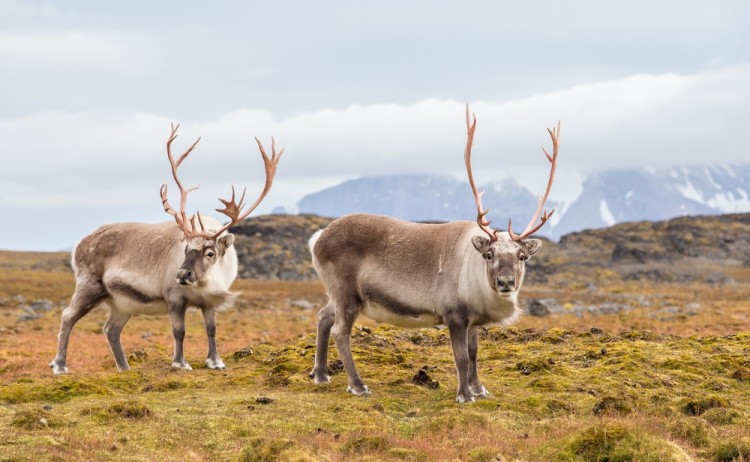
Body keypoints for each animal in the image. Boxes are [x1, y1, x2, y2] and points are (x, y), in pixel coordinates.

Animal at [50, 124, 283, 374]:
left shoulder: (210, 302)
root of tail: (79, 244)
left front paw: (215, 361)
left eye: (210, 252)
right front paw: (180, 363)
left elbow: (211, 330)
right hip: (89, 287)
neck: (205, 282)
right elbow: (179, 332)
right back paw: (60, 365)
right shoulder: (175, 299)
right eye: (186, 249)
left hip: (121, 304)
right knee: (68, 316)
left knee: (110, 329)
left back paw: (125, 368)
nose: (182, 274)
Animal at [308, 106, 559, 403]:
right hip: (347, 295)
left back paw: (320, 374)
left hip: (338, 295)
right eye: (489, 255)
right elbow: (460, 358)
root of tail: (317, 239)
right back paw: (357, 385)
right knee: (340, 331)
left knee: (323, 316)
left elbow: (474, 355)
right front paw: (464, 395)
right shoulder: (455, 315)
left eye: (522, 256)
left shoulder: (474, 321)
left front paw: (479, 389)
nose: (506, 282)